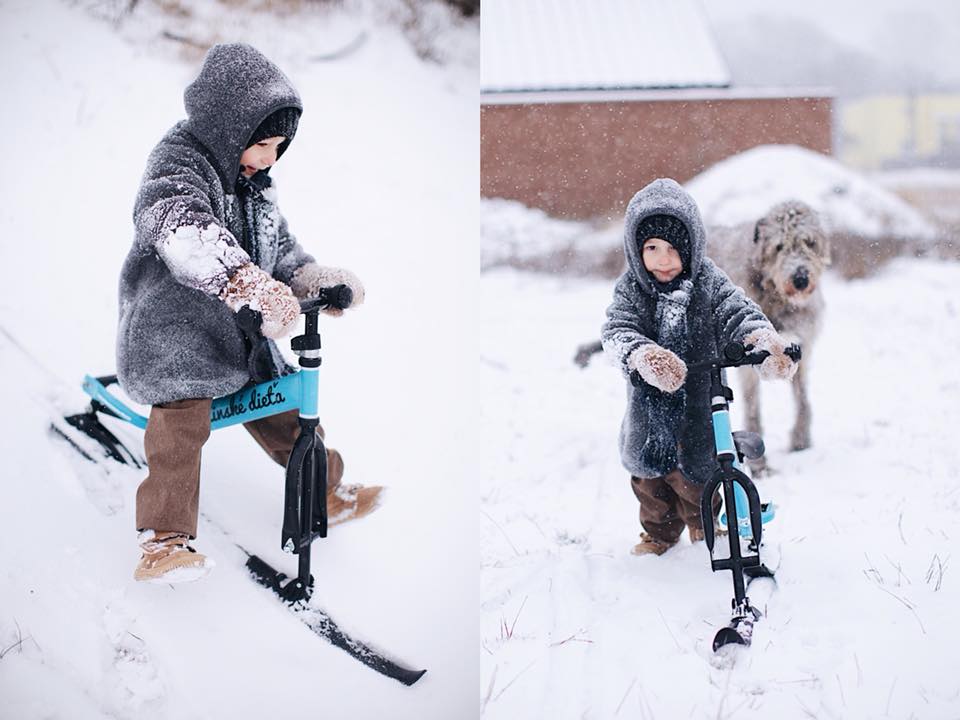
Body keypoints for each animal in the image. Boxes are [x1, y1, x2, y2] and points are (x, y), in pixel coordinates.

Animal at [704, 200, 832, 476]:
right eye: (779, 247)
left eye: (809, 243)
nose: (800, 279)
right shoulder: (746, 358)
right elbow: (752, 406)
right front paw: (759, 466)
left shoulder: (801, 343)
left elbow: (802, 398)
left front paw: (801, 440)